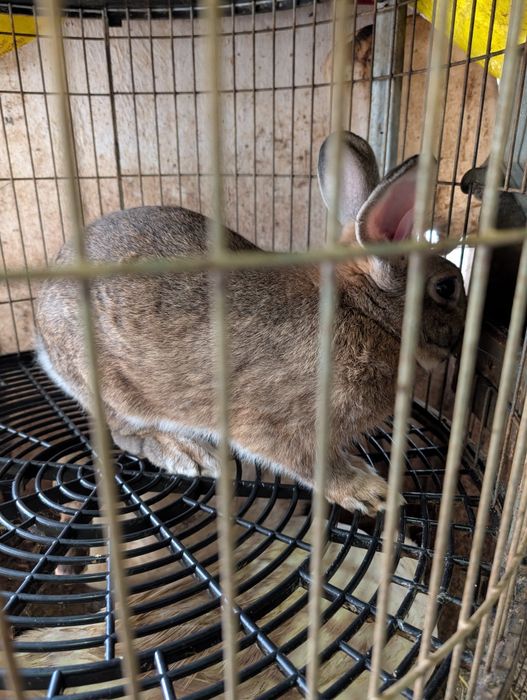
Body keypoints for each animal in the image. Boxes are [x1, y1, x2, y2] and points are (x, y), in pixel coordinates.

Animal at [34, 131, 467, 516]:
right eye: (446, 287)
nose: (463, 341)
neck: (362, 309)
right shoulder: (279, 425)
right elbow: (312, 464)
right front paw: (367, 491)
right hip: (118, 391)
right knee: (124, 432)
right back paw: (187, 453)